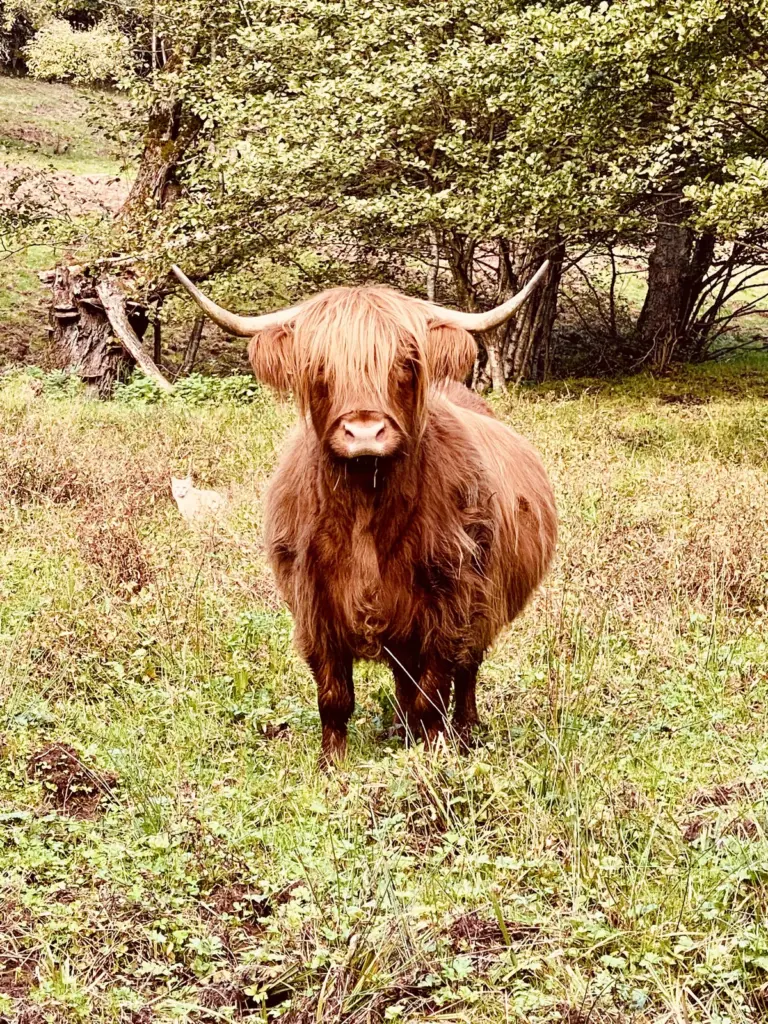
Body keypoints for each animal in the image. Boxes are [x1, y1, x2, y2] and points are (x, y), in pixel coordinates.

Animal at [172, 264, 558, 767]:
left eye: (406, 361)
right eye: (319, 365)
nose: (365, 431)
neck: (365, 509)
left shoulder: (452, 601)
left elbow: (434, 689)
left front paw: (431, 754)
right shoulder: (313, 602)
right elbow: (334, 695)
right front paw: (331, 763)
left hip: (482, 602)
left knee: (467, 670)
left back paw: (466, 730)